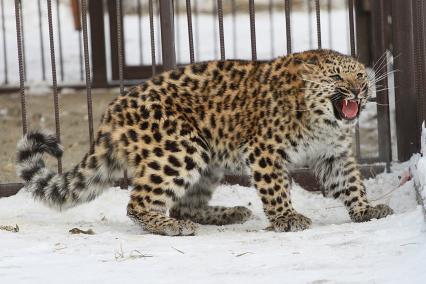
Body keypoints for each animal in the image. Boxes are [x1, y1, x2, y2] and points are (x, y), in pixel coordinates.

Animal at [18, 48, 394, 235]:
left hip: (207, 159)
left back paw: (230, 213)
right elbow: (275, 188)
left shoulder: (334, 155)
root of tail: (113, 111)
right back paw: (170, 227)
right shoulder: (264, 149)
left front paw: (366, 209)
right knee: (140, 203)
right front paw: (287, 218)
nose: (358, 90)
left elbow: (350, 183)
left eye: (360, 77)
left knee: (184, 204)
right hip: (178, 149)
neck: (323, 122)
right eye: (337, 76)